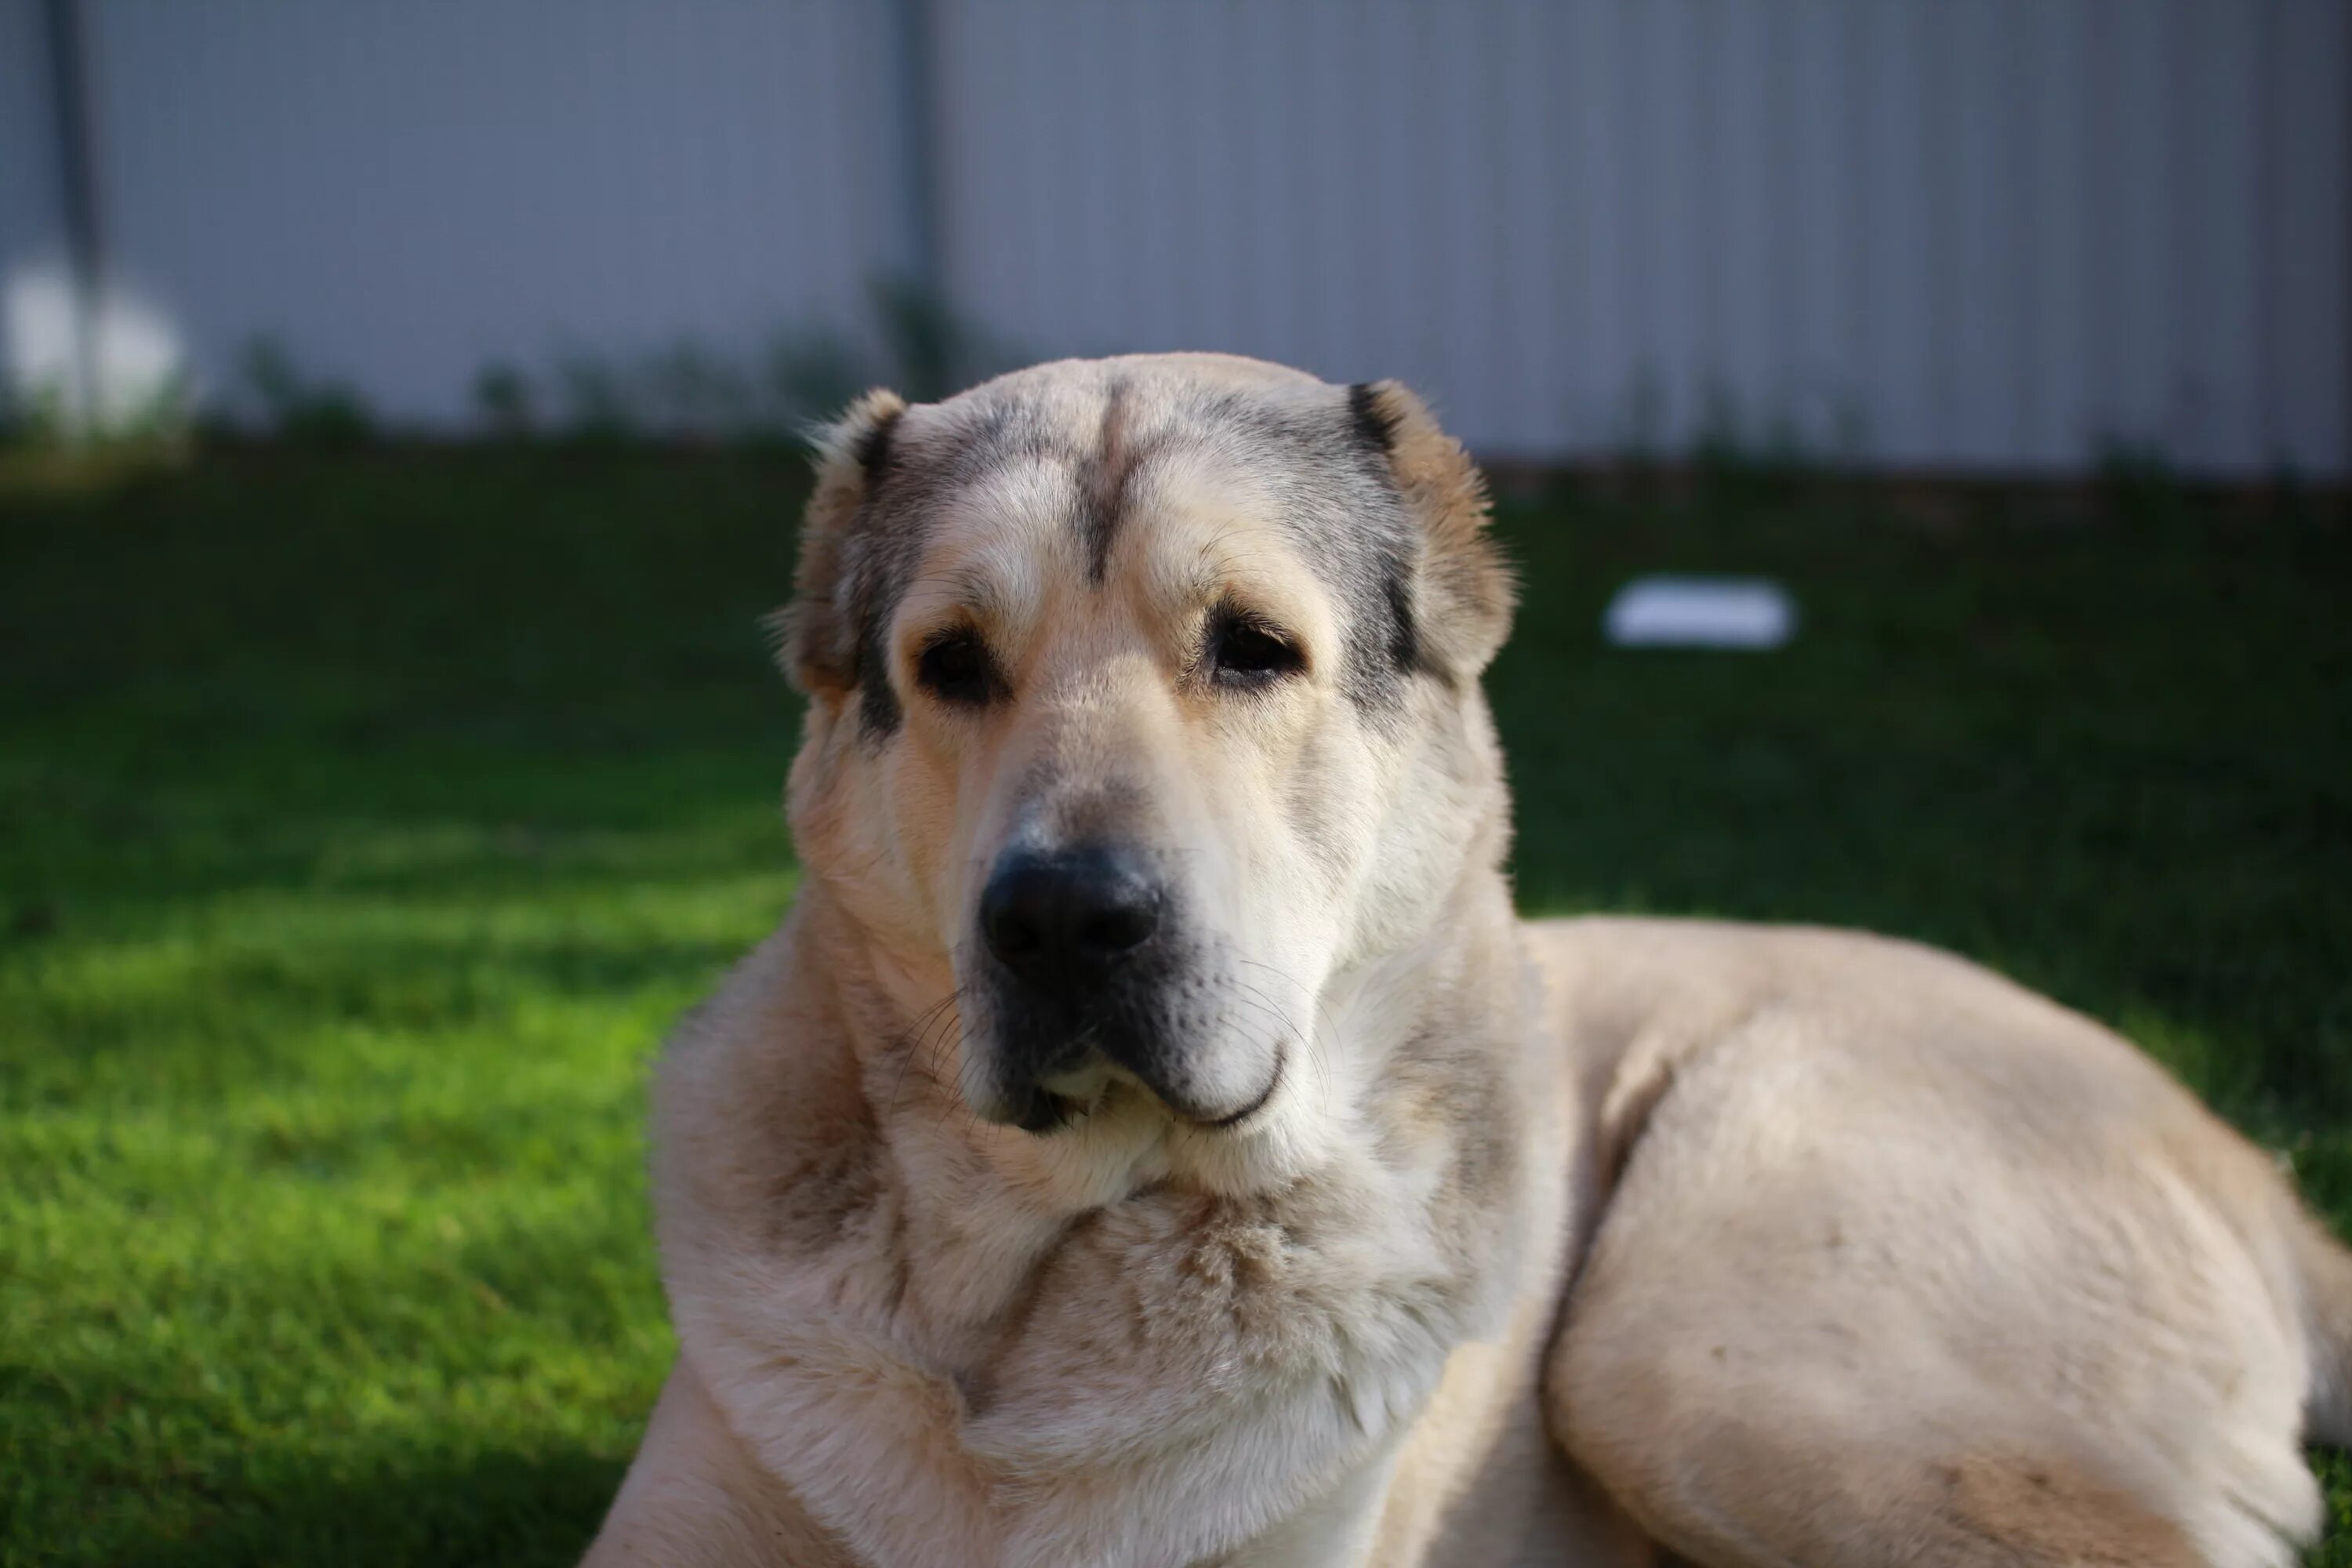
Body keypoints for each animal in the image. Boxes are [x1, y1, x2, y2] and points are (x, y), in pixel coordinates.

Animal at [574, 354, 2352, 1568]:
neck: (1034, 1293)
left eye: (1251, 650)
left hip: (1704, 1361)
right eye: (950, 663)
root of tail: (2230, 1150)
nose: (1066, 916)